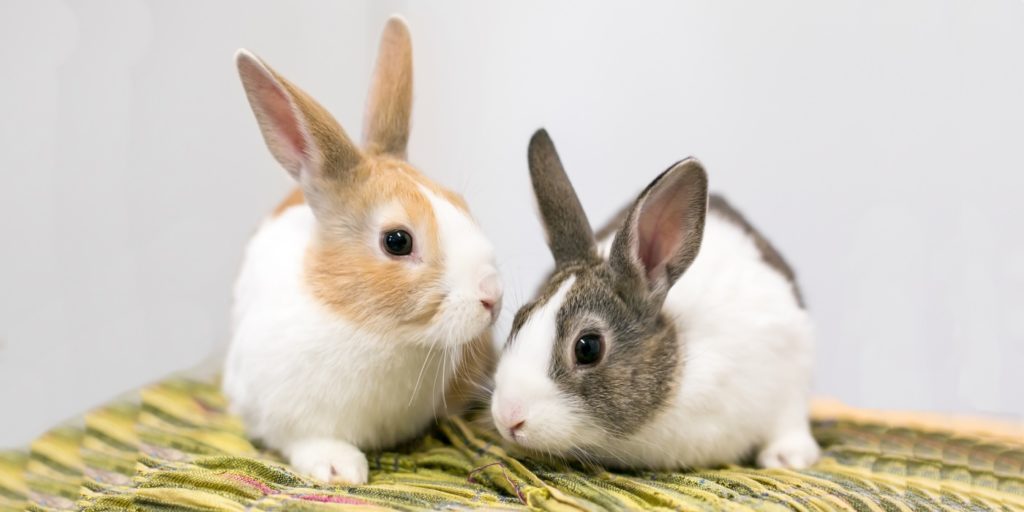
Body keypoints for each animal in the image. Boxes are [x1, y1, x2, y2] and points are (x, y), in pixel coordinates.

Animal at [223, 17, 502, 485]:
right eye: (397, 241)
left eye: (460, 203)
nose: (492, 296)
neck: (369, 326)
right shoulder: (274, 412)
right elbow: (305, 439)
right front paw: (342, 470)